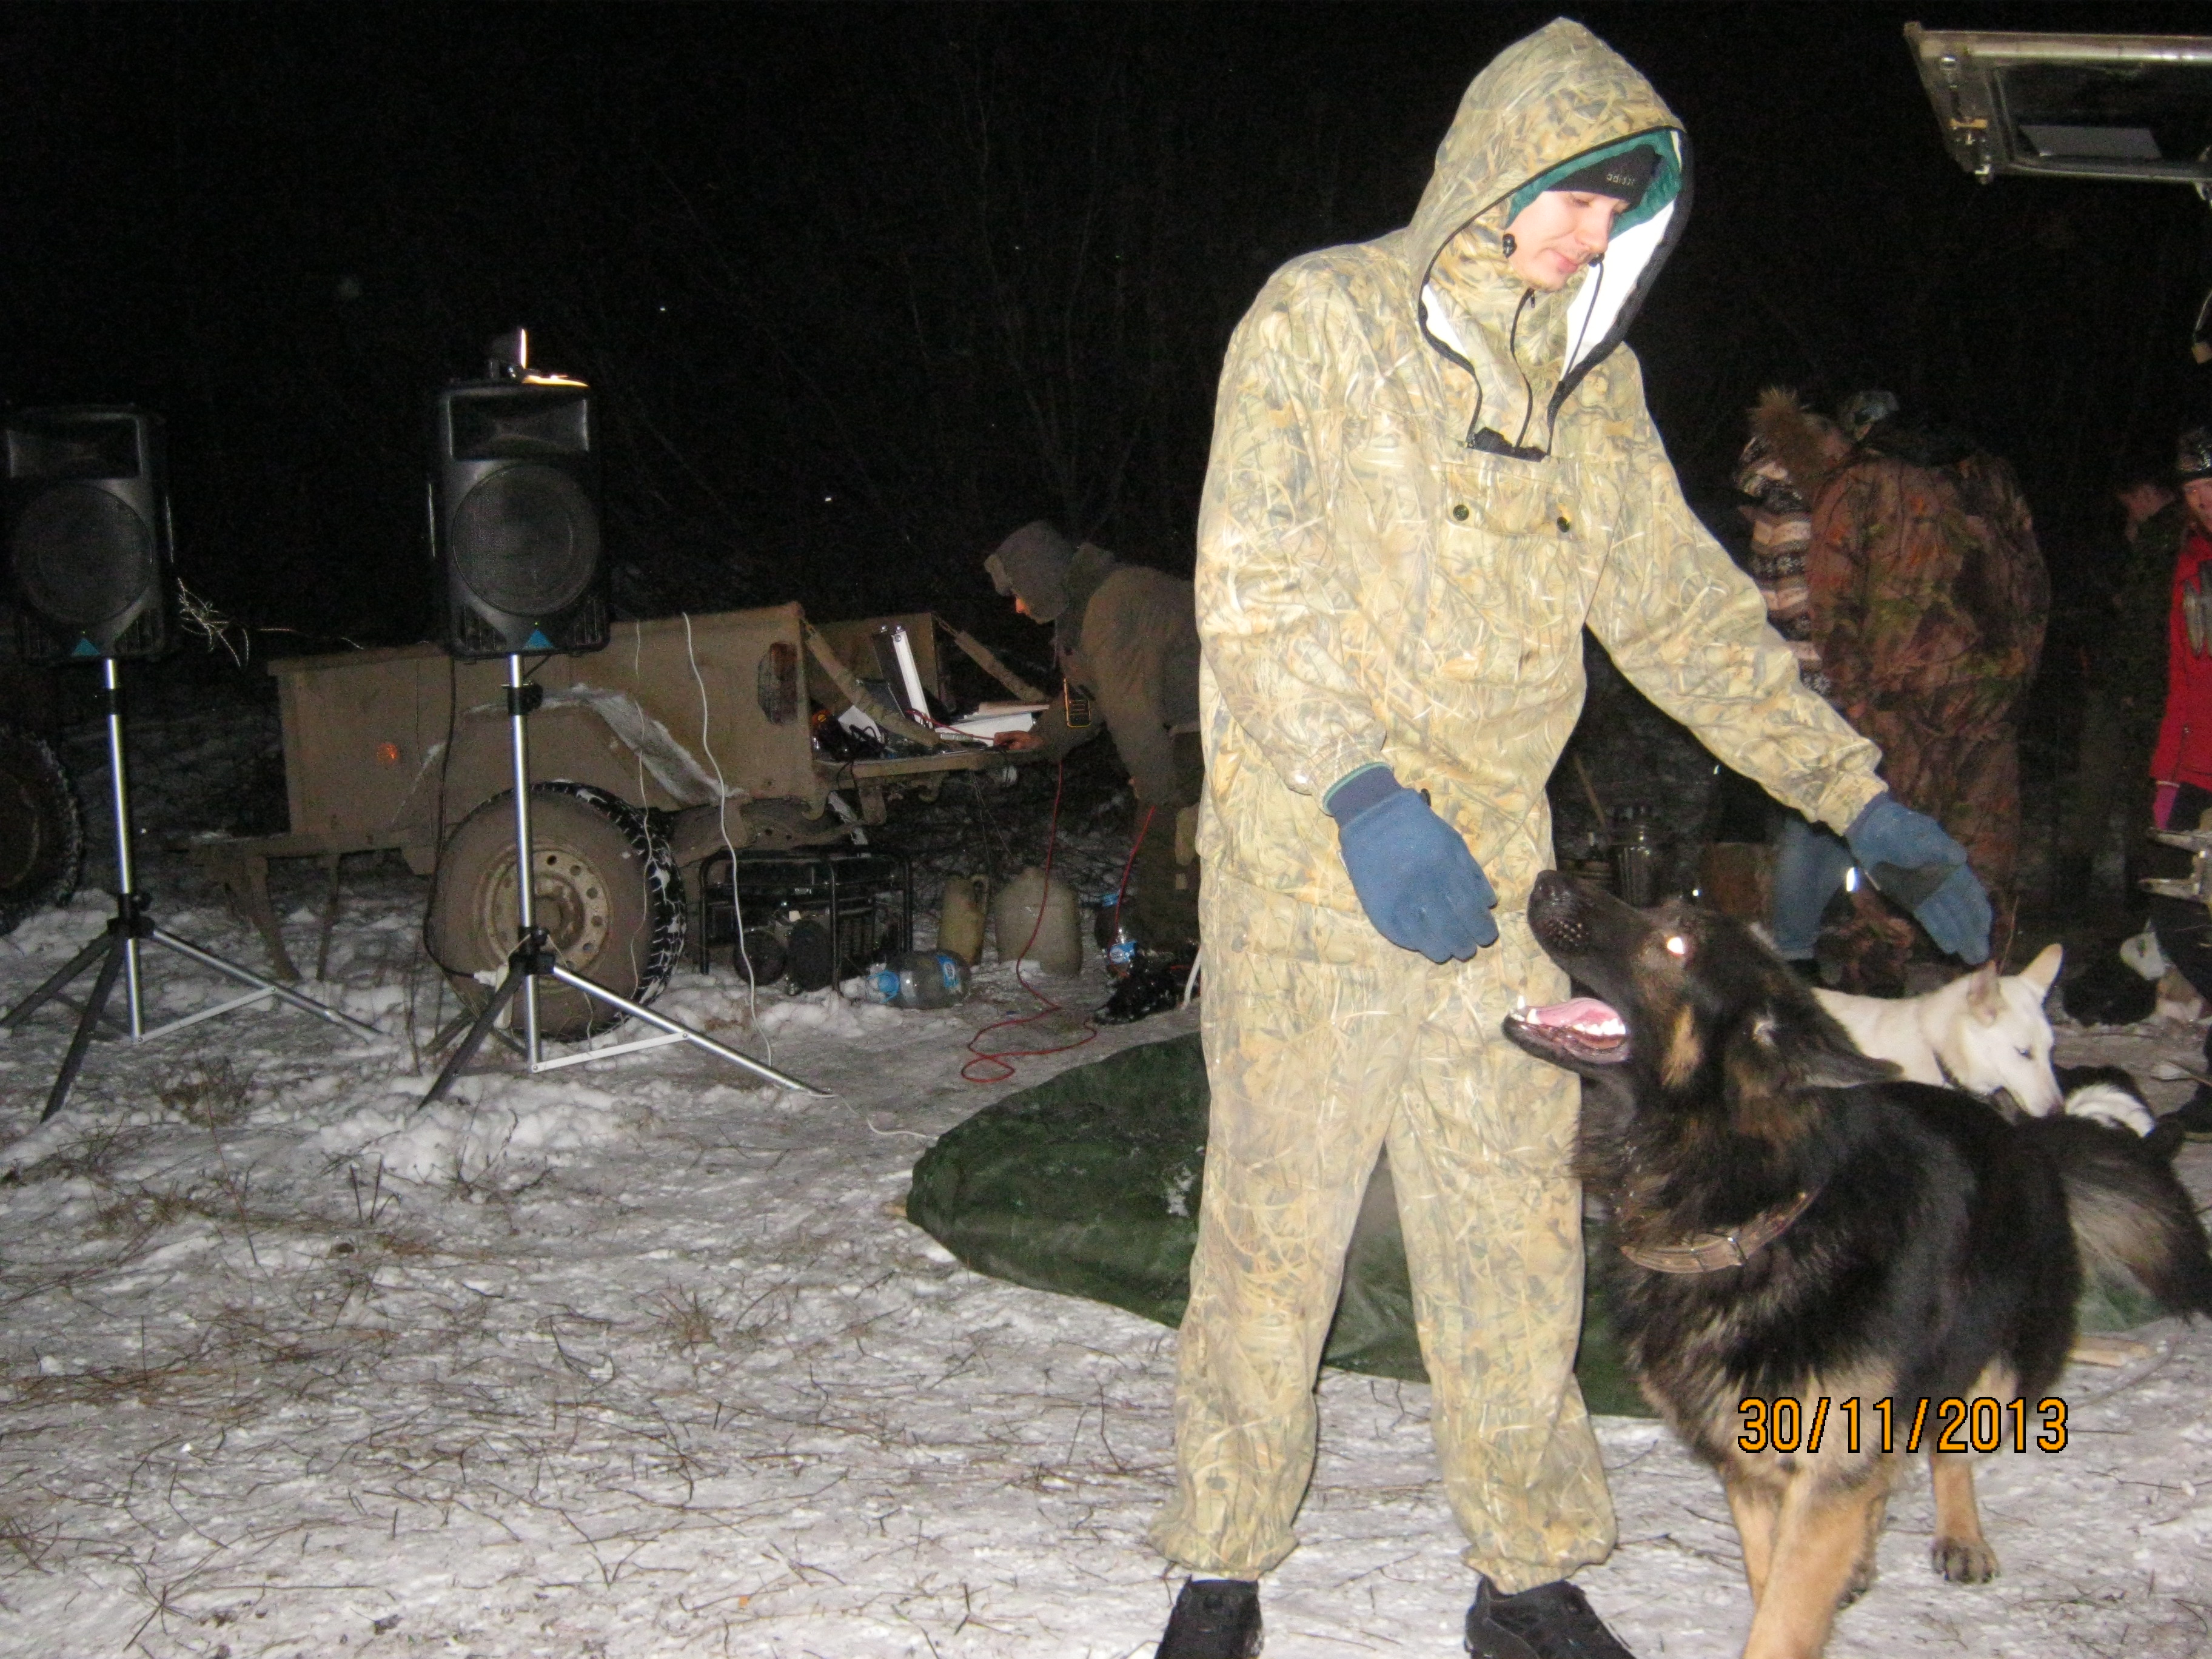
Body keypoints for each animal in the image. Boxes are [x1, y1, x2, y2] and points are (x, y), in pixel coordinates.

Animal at [1505, 873, 2212, 1659]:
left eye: (1678, 943)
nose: (1546, 880)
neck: (1751, 1212)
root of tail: (2026, 1136)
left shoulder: (1828, 1458)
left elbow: (1783, 1621)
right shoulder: (1755, 1467)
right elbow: (1773, 1580)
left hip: (1995, 1366)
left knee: (1949, 1448)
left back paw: (1961, 1535)